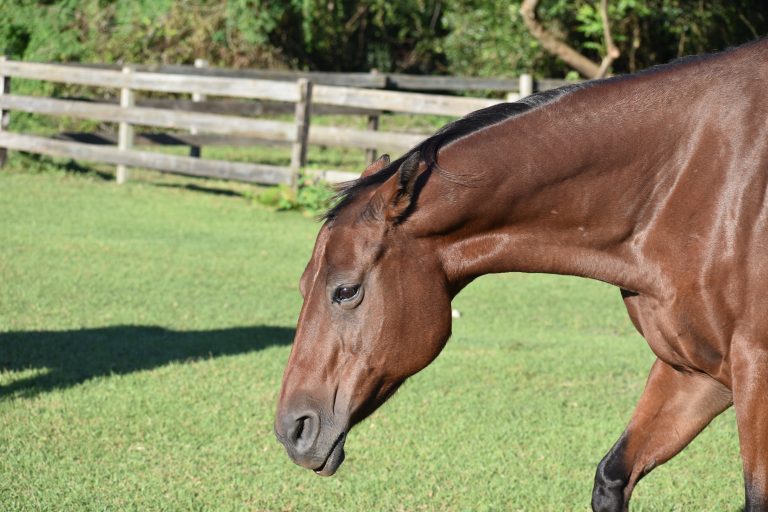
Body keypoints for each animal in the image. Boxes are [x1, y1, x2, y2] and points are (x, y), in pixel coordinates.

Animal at [276, 38, 768, 510]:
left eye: (346, 291)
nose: (292, 430)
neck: (693, 183)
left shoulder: (754, 371)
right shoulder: (695, 372)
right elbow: (612, 475)